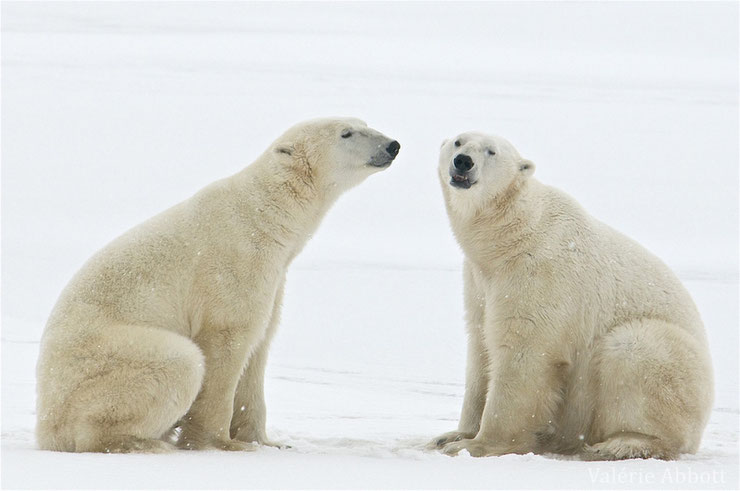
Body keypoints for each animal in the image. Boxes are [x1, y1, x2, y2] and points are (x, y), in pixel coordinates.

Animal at [37, 116, 402, 454]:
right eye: (346, 133)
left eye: (365, 123)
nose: (392, 145)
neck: (264, 215)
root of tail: (45, 430)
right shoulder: (234, 263)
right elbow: (226, 340)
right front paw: (220, 443)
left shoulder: (274, 279)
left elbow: (259, 347)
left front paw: (266, 442)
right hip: (103, 363)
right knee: (178, 362)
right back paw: (146, 443)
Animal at [430, 132, 712, 462]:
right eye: (459, 141)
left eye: (491, 151)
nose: (463, 161)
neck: (512, 235)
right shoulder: (479, 284)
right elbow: (480, 348)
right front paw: (452, 435)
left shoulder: (539, 273)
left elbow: (523, 353)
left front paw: (476, 445)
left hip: (672, 365)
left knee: (633, 349)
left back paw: (620, 444)